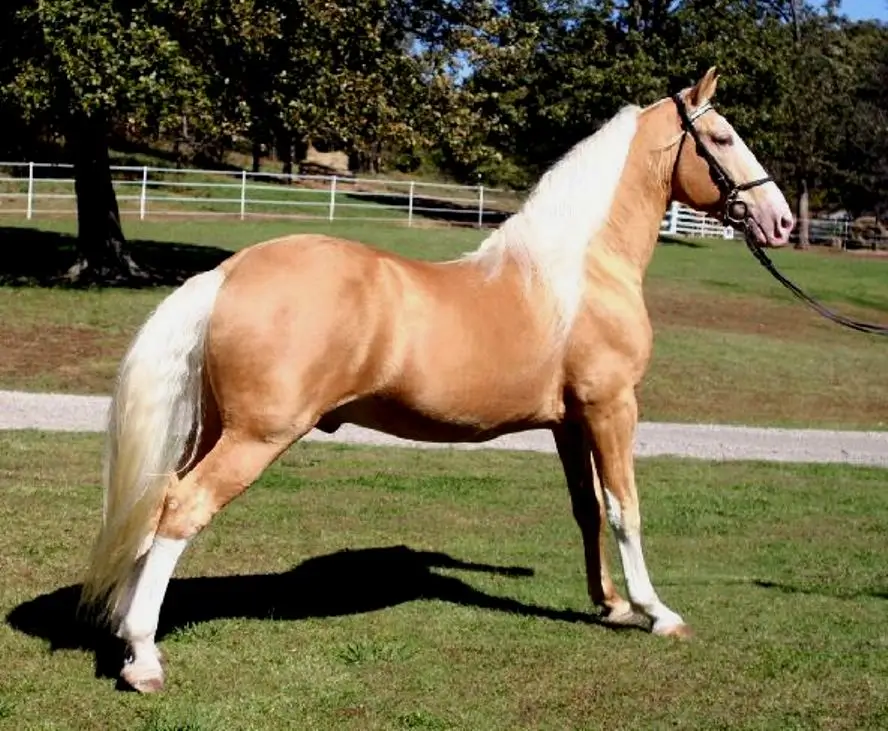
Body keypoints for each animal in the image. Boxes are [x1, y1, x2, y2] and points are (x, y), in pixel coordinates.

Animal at [80, 67, 796, 692]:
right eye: (722, 138)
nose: (782, 220)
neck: (579, 270)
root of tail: (228, 273)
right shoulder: (612, 408)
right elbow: (627, 509)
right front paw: (656, 612)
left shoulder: (569, 422)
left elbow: (588, 509)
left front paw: (612, 604)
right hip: (256, 437)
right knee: (181, 509)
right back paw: (145, 659)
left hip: (214, 430)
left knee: (156, 502)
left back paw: (126, 641)